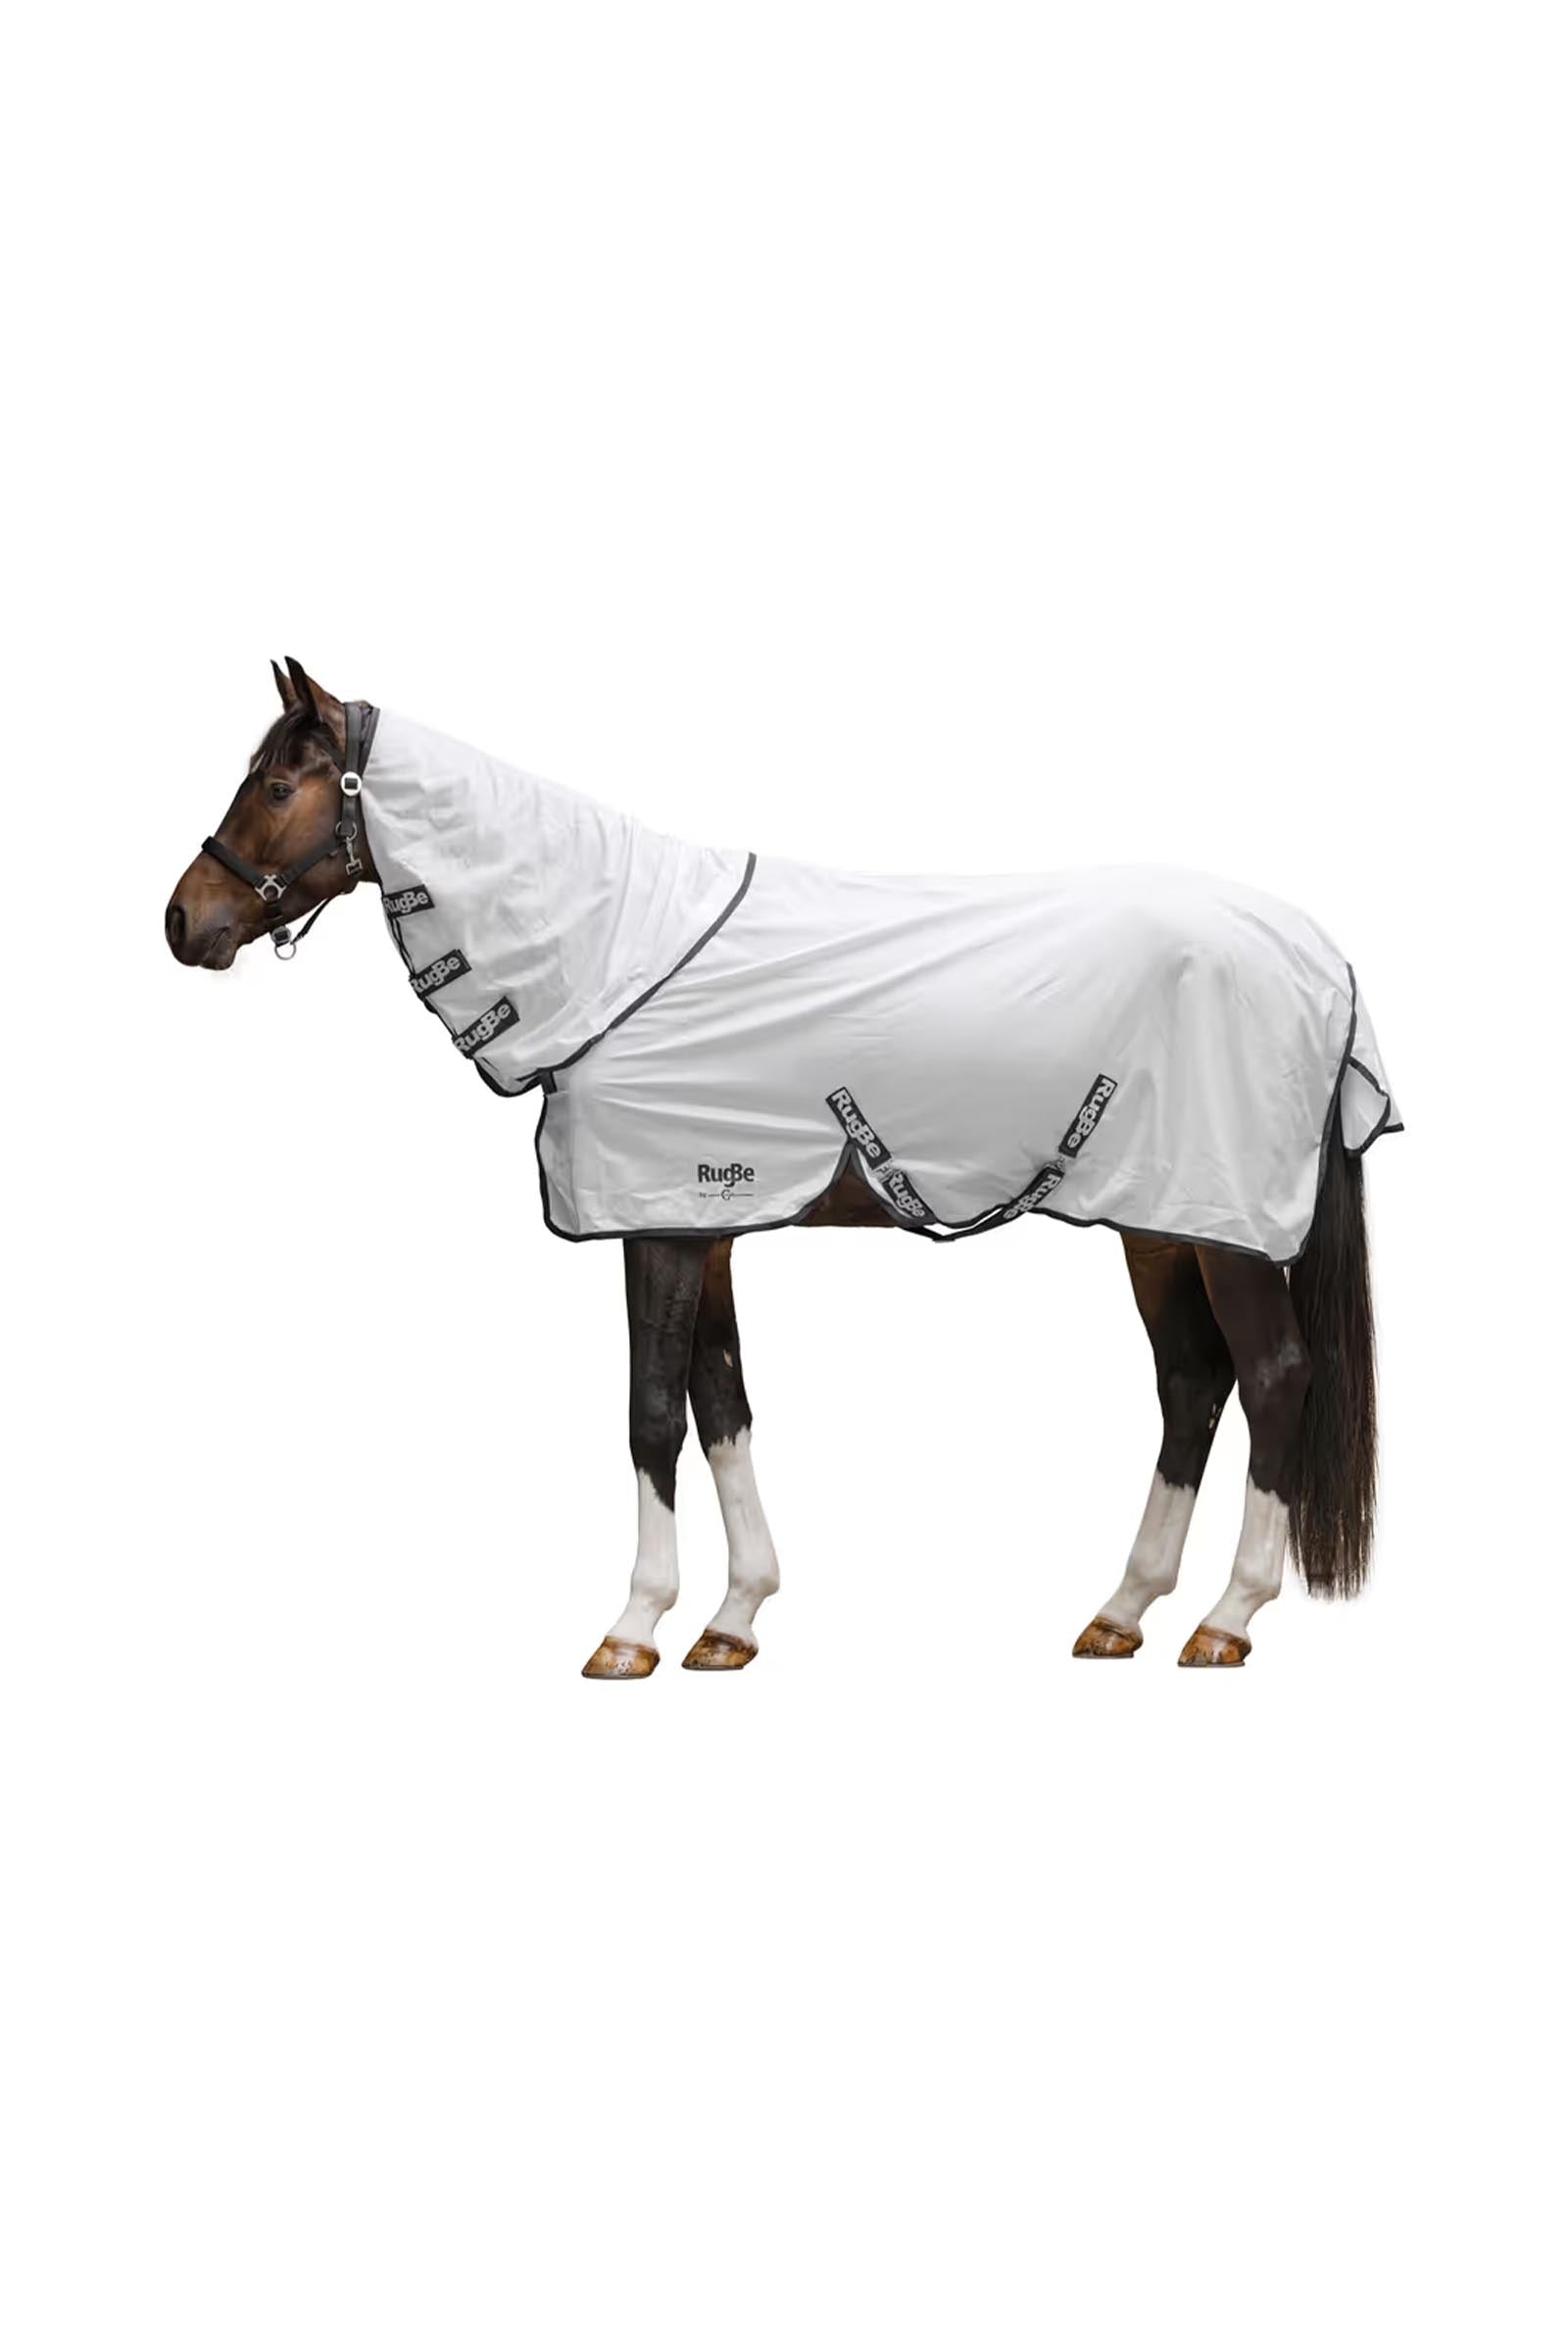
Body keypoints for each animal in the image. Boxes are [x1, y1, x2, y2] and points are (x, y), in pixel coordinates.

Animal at [166, 660, 1399, 1675]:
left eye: (275, 786)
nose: (183, 921)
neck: (619, 955)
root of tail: (1324, 962)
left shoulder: (659, 1225)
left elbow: (652, 1413)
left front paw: (633, 1627)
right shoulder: (701, 1219)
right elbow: (723, 1401)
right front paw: (732, 1619)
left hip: (1224, 1228)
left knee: (1274, 1375)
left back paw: (1225, 1620)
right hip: (1161, 1221)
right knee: (1192, 1382)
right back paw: (1123, 1611)